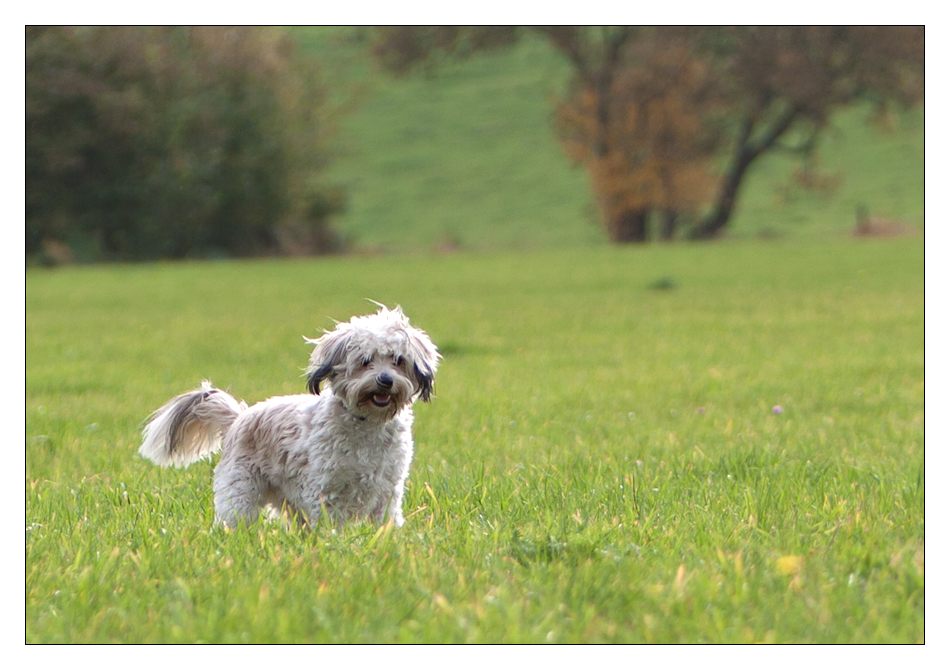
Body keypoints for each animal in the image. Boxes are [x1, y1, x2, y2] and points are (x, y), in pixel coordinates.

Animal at [139, 304, 442, 532]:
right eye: (365, 361)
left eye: (398, 360)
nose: (385, 380)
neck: (367, 423)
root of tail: (239, 417)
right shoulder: (326, 490)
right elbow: (331, 525)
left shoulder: (387, 489)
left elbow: (385, 522)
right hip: (239, 493)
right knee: (232, 518)